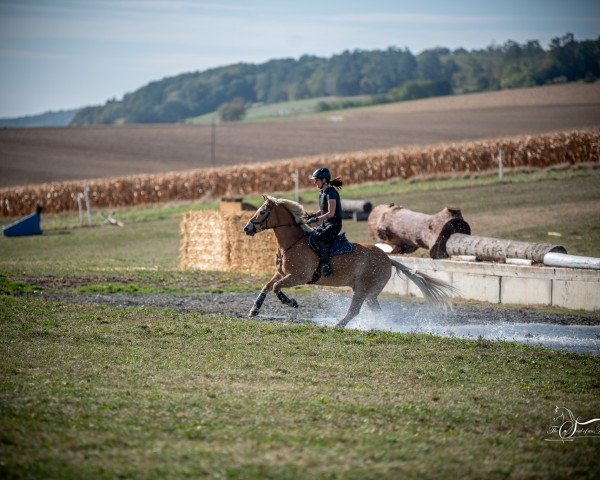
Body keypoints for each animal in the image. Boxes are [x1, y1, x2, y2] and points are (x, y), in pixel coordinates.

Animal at [241, 194, 452, 326]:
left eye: (262, 212)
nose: (246, 228)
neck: (293, 243)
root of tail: (388, 259)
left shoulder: (298, 277)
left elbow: (277, 288)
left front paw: (291, 302)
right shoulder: (281, 273)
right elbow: (267, 287)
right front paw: (254, 310)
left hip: (363, 289)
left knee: (355, 310)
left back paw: (339, 324)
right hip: (369, 293)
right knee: (374, 311)